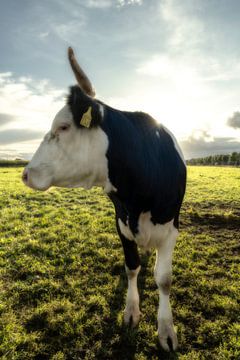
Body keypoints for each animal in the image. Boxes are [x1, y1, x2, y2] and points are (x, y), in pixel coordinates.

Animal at [22, 47, 187, 352]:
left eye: (63, 127)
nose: (25, 174)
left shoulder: (171, 227)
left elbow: (164, 279)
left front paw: (166, 328)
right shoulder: (120, 222)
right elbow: (132, 267)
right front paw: (131, 310)